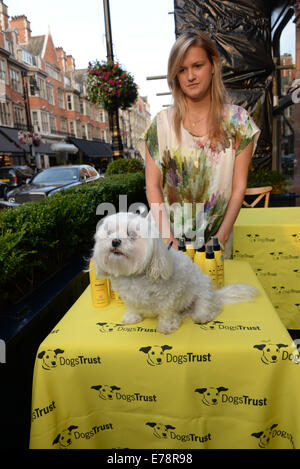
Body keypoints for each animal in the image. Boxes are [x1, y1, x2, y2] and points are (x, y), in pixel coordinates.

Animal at [92, 212, 258, 332]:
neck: (135, 276)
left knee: (210, 308)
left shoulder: (168, 297)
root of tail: (216, 294)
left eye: (131, 234)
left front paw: (166, 327)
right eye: (109, 233)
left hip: (203, 295)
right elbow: (132, 306)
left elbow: (166, 312)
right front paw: (132, 317)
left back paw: (202, 316)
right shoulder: (129, 296)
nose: (115, 241)